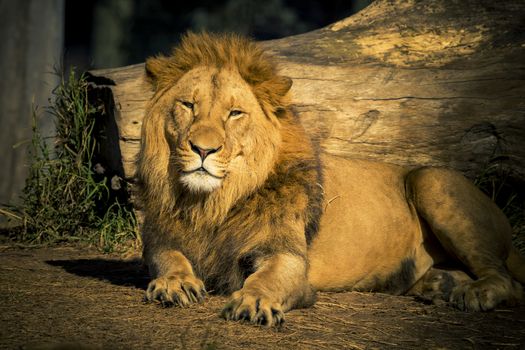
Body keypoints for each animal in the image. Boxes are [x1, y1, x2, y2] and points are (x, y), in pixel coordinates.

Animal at [137, 31, 524, 326]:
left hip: (432, 181)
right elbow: (168, 259)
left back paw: (472, 292)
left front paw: (253, 302)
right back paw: (440, 287)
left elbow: (265, 279)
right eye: (188, 105)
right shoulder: (160, 239)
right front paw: (173, 283)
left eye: (234, 113)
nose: (203, 149)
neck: (212, 202)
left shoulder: (287, 257)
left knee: (507, 281)